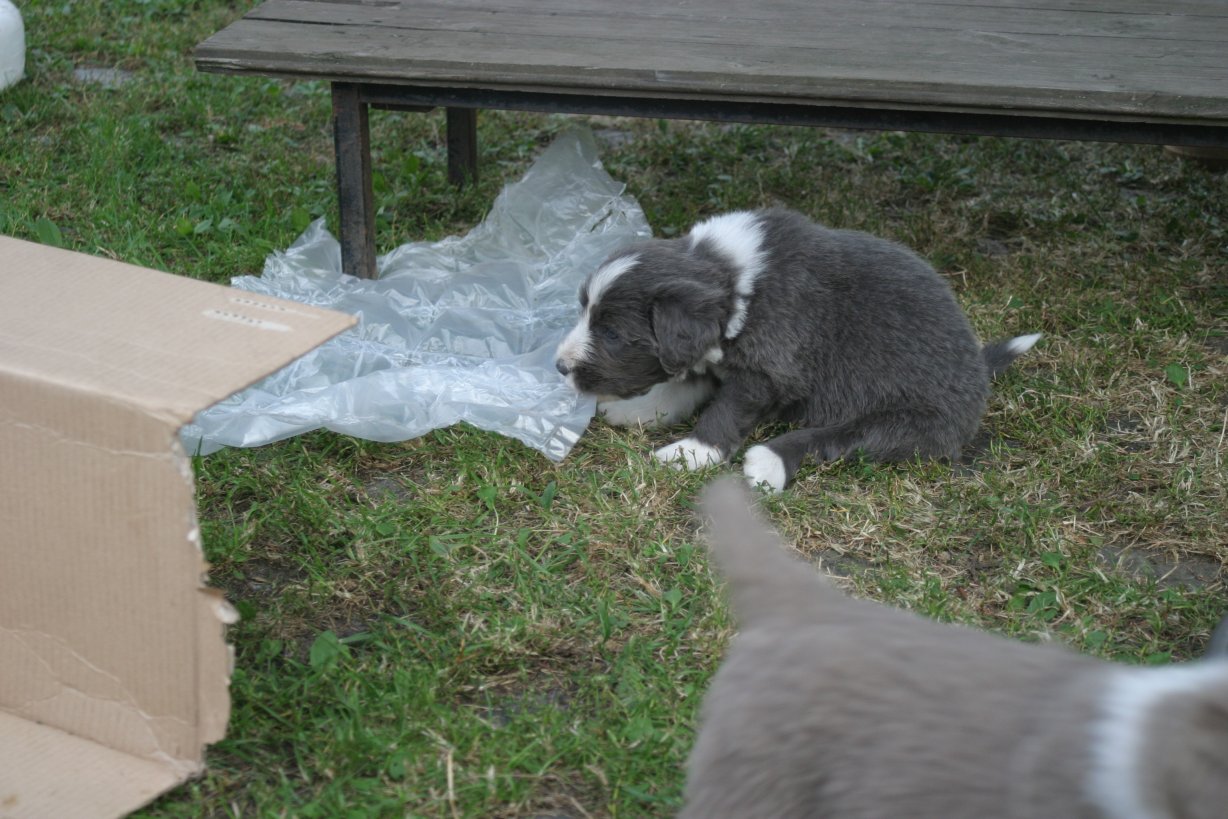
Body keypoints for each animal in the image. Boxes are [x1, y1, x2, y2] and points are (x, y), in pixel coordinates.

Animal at [557, 208, 1036, 491]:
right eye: (583, 311)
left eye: (612, 334)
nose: (560, 367)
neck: (736, 283)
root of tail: (979, 371)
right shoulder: (713, 354)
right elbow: (685, 384)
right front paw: (640, 409)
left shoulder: (768, 370)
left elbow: (725, 411)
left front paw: (692, 452)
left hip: (914, 422)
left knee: (842, 438)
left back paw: (770, 461)